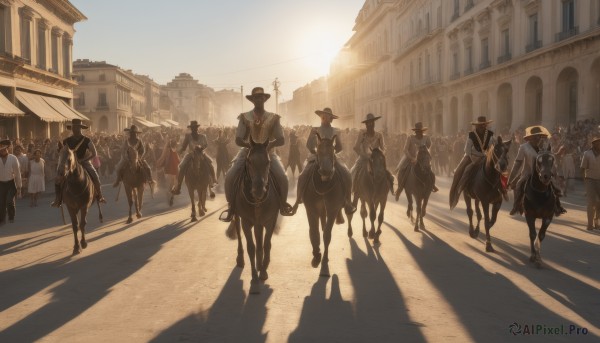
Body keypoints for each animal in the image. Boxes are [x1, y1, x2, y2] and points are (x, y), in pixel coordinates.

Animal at [300, 133, 352, 278]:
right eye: (318, 150)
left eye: (332, 150)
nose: (326, 171)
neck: (323, 184)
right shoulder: (311, 209)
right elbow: (314, 231)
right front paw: (316, 256)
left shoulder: (333, 209)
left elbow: (327, 234)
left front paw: (324, 263)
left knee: (348, 213)